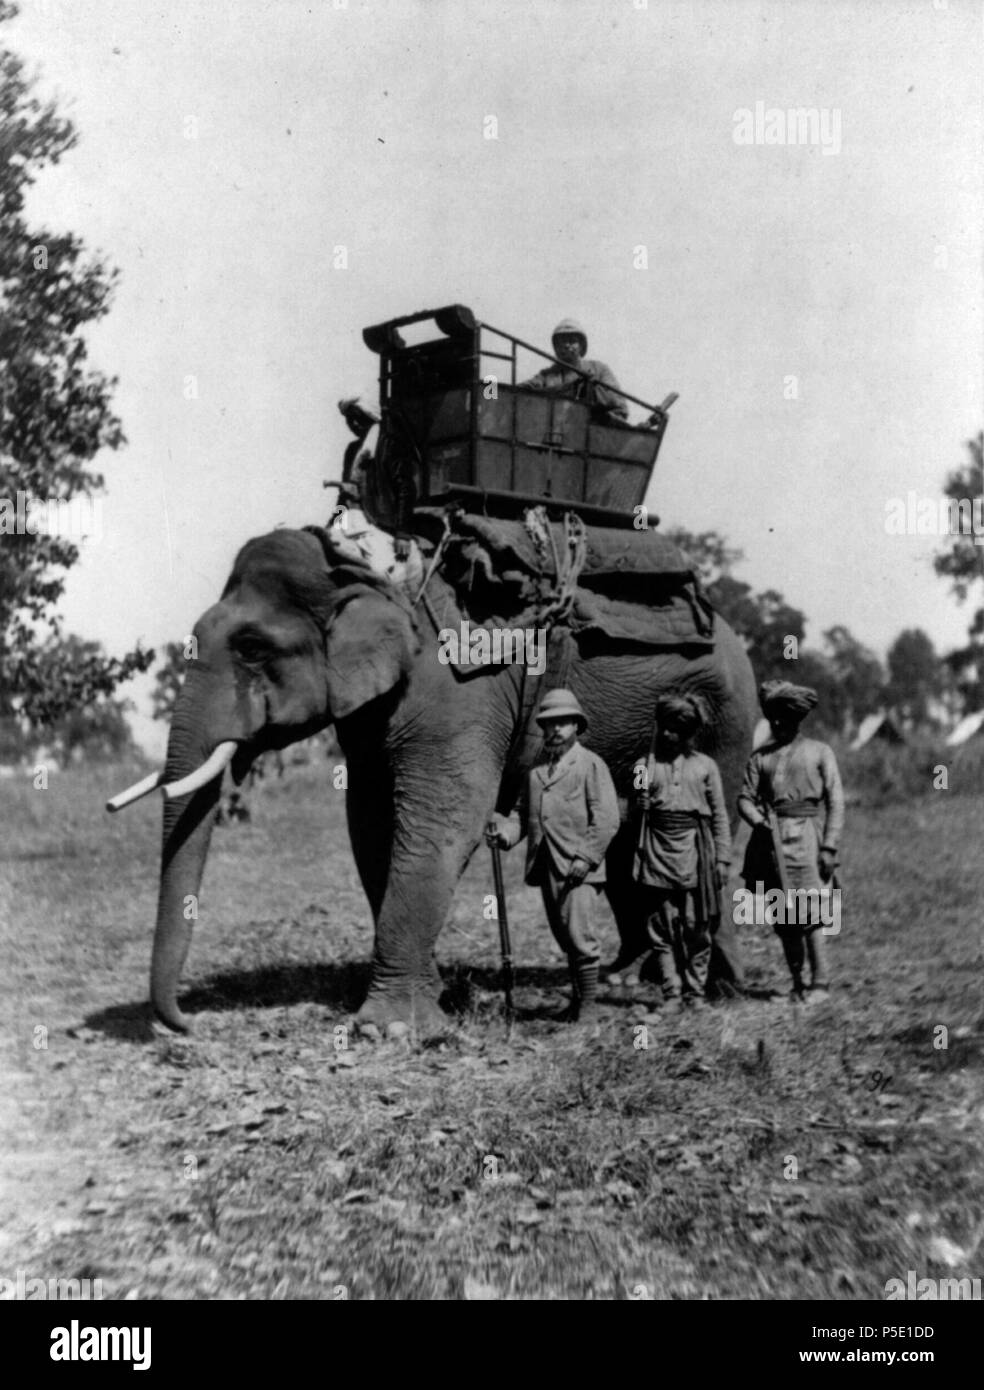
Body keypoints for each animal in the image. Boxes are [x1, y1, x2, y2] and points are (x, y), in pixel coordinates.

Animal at [107, 525, 756, 1039]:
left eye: (249, 647)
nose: (186, 1024)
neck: (371, 575)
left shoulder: (457, 692)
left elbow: (444, 818)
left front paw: (390, 1029)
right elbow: (371, 823)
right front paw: (436, 996)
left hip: (726, 719)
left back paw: (718, 987)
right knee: (624, 840)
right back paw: (634, 974)